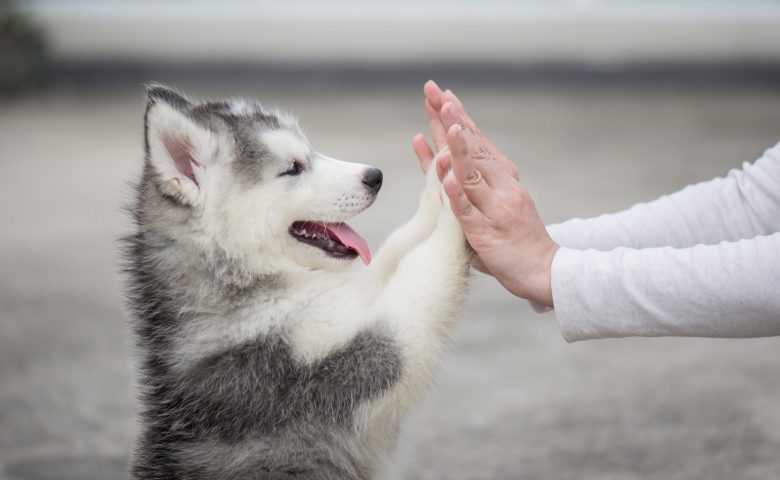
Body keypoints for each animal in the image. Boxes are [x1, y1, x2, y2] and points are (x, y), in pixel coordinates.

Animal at [125, 86, 472, 480]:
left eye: (310, 151)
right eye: (293, 167)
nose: (375, 176)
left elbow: (397, 247)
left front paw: (440, 178)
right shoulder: (347, 360)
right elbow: (423, 270)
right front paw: (459, 202)